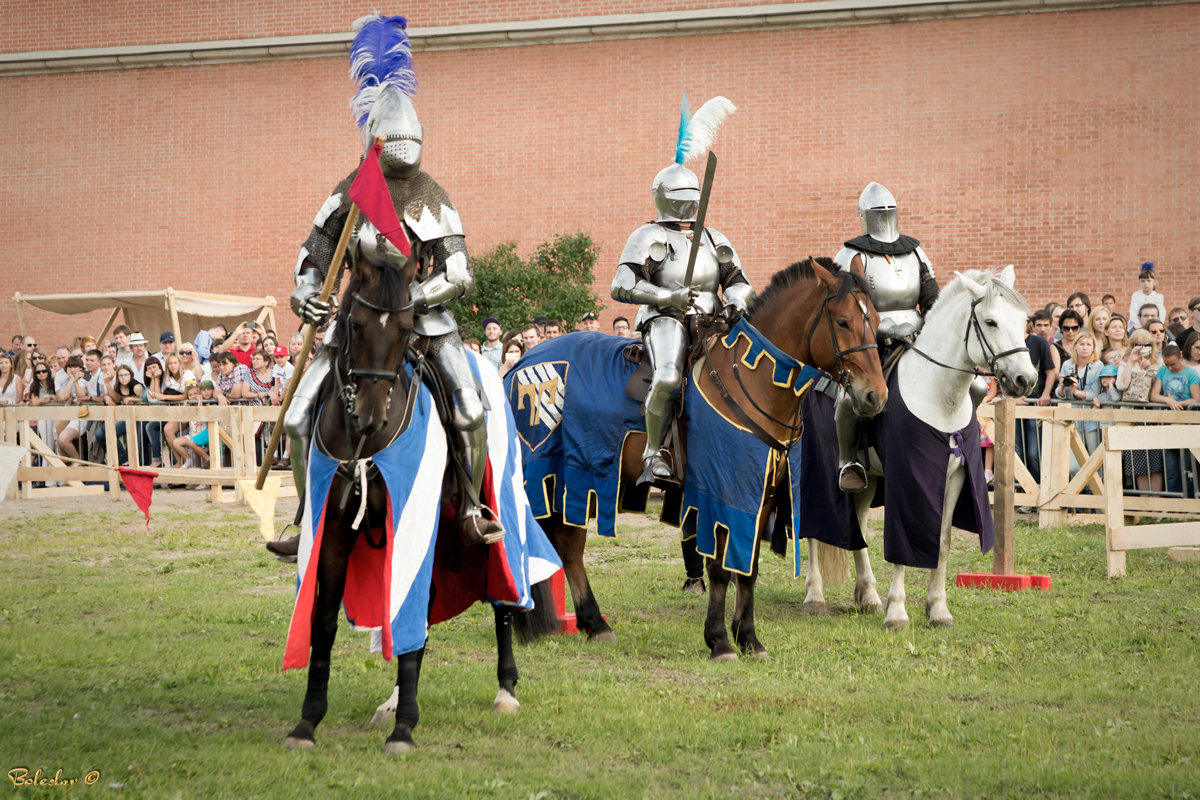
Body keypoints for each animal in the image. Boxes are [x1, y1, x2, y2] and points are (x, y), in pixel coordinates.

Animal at [530, 260, 888, 662]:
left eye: (876, 319)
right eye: (842, 321)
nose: (875, 396)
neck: (751, 377)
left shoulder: (762, 496)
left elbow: (748, 568)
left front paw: (749, 639)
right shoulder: (722, 492)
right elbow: (719, 568)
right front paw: (720, 641)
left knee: (569, 545)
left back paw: (595, 624)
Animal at [801, 266, 1036, 628]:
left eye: (1023, 320)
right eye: (991, 322)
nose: (1027, 379)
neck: (938, 394)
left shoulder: (954, 476)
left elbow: (942, 540)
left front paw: (938, 609)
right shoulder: (907, 478)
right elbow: (904, 541)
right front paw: (897, 611)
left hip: (867, 479)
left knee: (858, 526)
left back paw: (868, 596)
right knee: (814, 527)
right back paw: (815, 595)